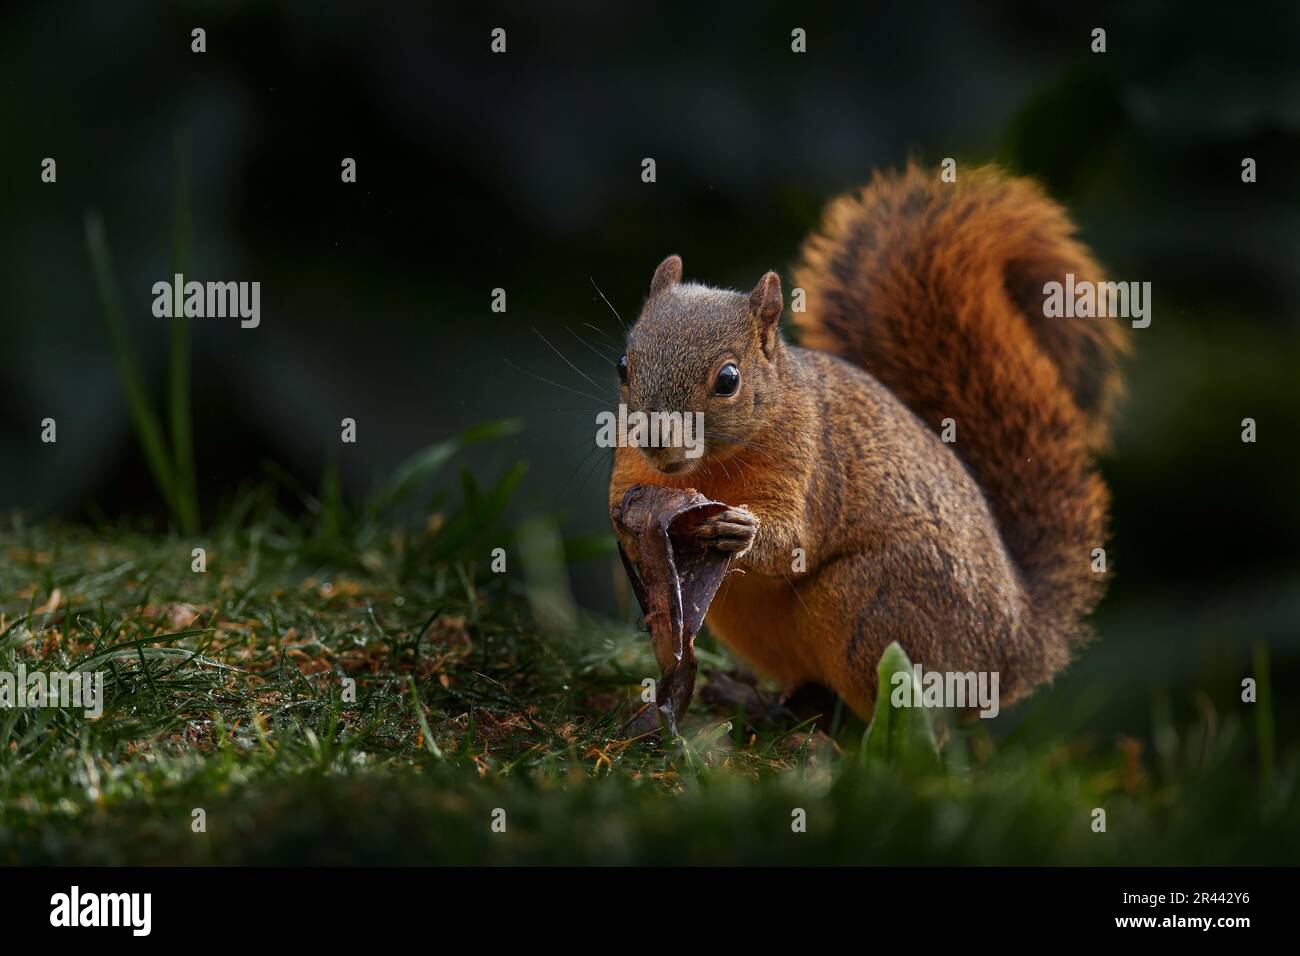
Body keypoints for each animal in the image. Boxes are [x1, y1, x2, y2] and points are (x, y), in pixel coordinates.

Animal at [608, 163, 1130, 718]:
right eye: (623, 366)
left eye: (728, 380)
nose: (656, 440)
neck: (707, 469)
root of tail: (1012, 648)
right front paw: (629, 522)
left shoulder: (809, 461)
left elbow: (793, 540)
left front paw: (741, 530)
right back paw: (757, 702)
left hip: (870, 607)